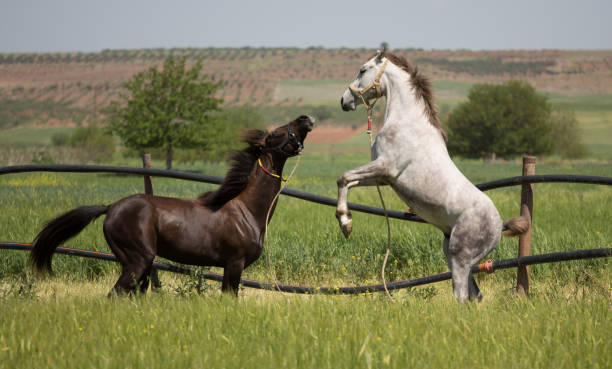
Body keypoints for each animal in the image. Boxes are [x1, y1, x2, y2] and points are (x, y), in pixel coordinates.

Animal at [30, 115, 314, 296]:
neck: (247, 211)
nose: (305, 118)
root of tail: (110, 208)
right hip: (137, 261)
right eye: (276, 132)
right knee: (115, 295)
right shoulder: (234, 264)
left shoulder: (230, 267)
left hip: (137, 265)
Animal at [338, 50, 528, 300]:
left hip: (459, 257)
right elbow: (347, 181)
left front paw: (345, 223)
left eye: (363, 69)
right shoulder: (381, 178)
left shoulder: (385, 167)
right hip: (453, 255)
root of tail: (499, 226)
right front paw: (346, 222)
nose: (344, 101)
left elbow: (343, 177)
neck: (406, 122)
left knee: (461, 296)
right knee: (475, 296)